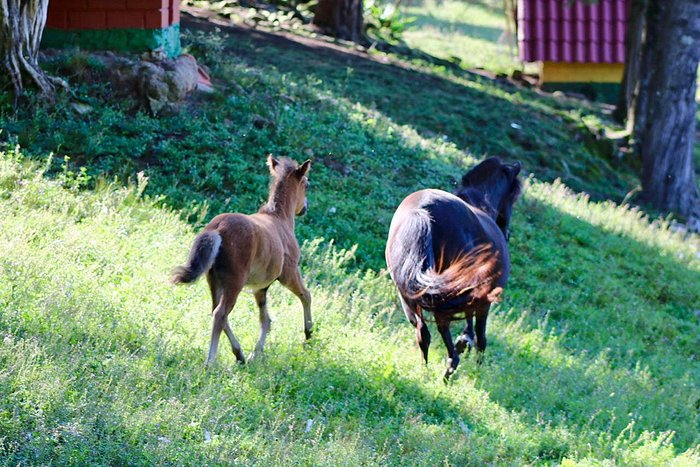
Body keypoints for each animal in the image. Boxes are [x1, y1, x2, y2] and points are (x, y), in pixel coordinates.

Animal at [172, 157, 312, 370]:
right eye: (306, 183)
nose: (305, 207)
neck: (280, 219)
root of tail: (216, 228)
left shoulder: (260, 287)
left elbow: (265, 319)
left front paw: (256, 353)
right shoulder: (289, 273)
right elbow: (306, 295)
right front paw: (309, 335)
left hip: (214, 280)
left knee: (217, 311)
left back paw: (239, 355)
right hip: (234, 281)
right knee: (220, 314)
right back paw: (211, 361)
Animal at [386, 157, 524, 380]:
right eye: (512, 198)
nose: (507, 233)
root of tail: (422, 211)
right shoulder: (484, 302)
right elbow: (481, 338)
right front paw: (475, 362)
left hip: (409, 294)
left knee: (423, 333)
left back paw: (425, 372)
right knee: (447, 338)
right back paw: (450, 368)